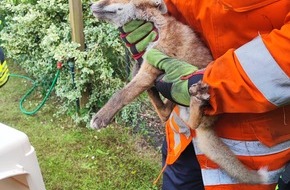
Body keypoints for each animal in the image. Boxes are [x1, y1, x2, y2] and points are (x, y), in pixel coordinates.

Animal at [90, 0, 268, 184]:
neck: (155, 26)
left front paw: (101, 117)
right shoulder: (143, 66)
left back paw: (196, 100)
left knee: (192, 122)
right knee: (166, 113)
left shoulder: (149, 69)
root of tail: (209, 126)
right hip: (177, 105)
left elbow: (120, 95)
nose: (90, 6)